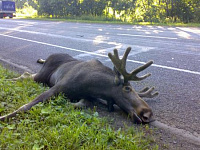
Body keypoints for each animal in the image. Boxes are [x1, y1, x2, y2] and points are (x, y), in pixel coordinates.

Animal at [0, 47, 158, 123]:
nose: (148, 113)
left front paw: (67, 104)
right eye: (127, 88)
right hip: (42, 75)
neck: (94, 86)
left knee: (26, 74)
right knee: (25, 76)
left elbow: (83, 103)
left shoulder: (89, 97)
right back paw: (8, 80)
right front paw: (4, 117)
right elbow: (25, 106)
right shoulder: (57, 87)